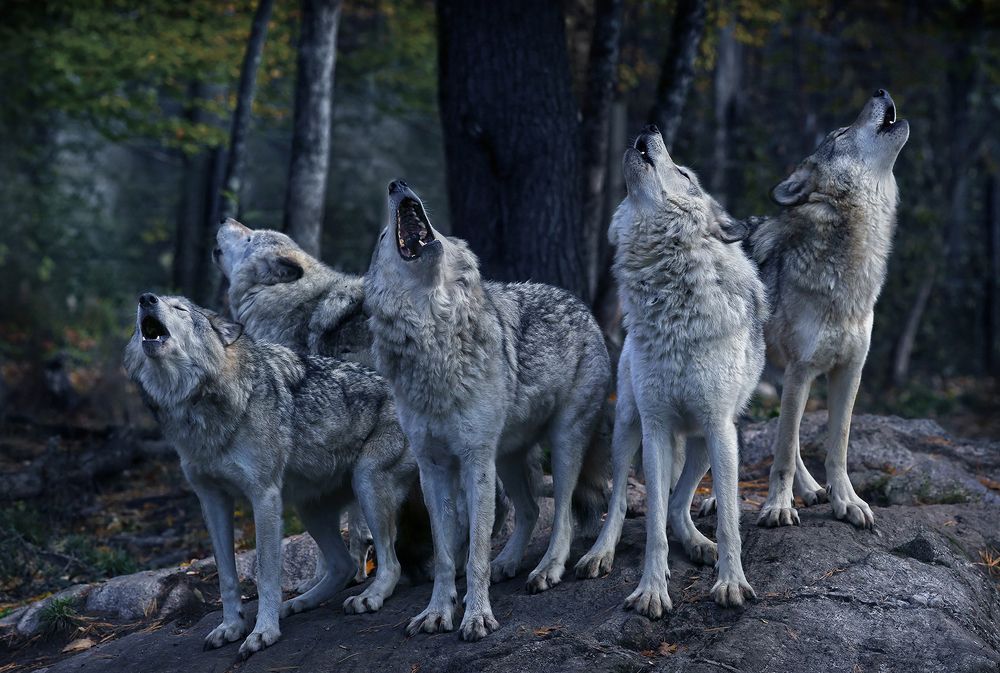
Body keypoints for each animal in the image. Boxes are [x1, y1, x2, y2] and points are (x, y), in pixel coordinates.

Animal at [123, 293, 416, 657]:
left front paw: (263, 632)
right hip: (309, 509)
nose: (145, 299)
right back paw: (301, 603)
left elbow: (265, 574)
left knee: (390, 562)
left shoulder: (263, 496)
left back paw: (370, 597)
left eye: (180, 309)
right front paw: (231, 627)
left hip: (366, 482)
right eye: (153, 302)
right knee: (343, 565)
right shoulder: (212, 501)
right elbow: (227, 576)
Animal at [364, 180, 611, 641]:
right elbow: (446, 556)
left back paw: (547, 569)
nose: (395, 184)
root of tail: (577, 301)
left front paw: (477, 615)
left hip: (563, 444)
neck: (435, 334)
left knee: (563, 514)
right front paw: (437, 612)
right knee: (530, 510)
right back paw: (508, 562)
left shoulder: (475, 461)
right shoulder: (434, 469)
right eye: (385, 236)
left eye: (439, 227)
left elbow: (475, 550)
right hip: (508, 458)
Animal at [576, 126, 766, 616]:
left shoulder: (719, 428)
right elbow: (652, 526)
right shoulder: (657, 426)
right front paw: (651, 590)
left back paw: (700, 545)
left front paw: (731, 582)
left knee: (681, 503)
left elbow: (729, 521)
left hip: (707, 441)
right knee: (622, 502)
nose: (650, 129)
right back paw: (600, 553)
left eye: (683, 173)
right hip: (629, 427)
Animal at [750, 89, 909, 529]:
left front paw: (848, 502)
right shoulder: (803, 369)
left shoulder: (848, 371)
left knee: (783, 433)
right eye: (840, 133)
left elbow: (836, 447)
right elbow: (784, 454)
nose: (880, 90)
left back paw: (811, 491)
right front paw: (777, 507)